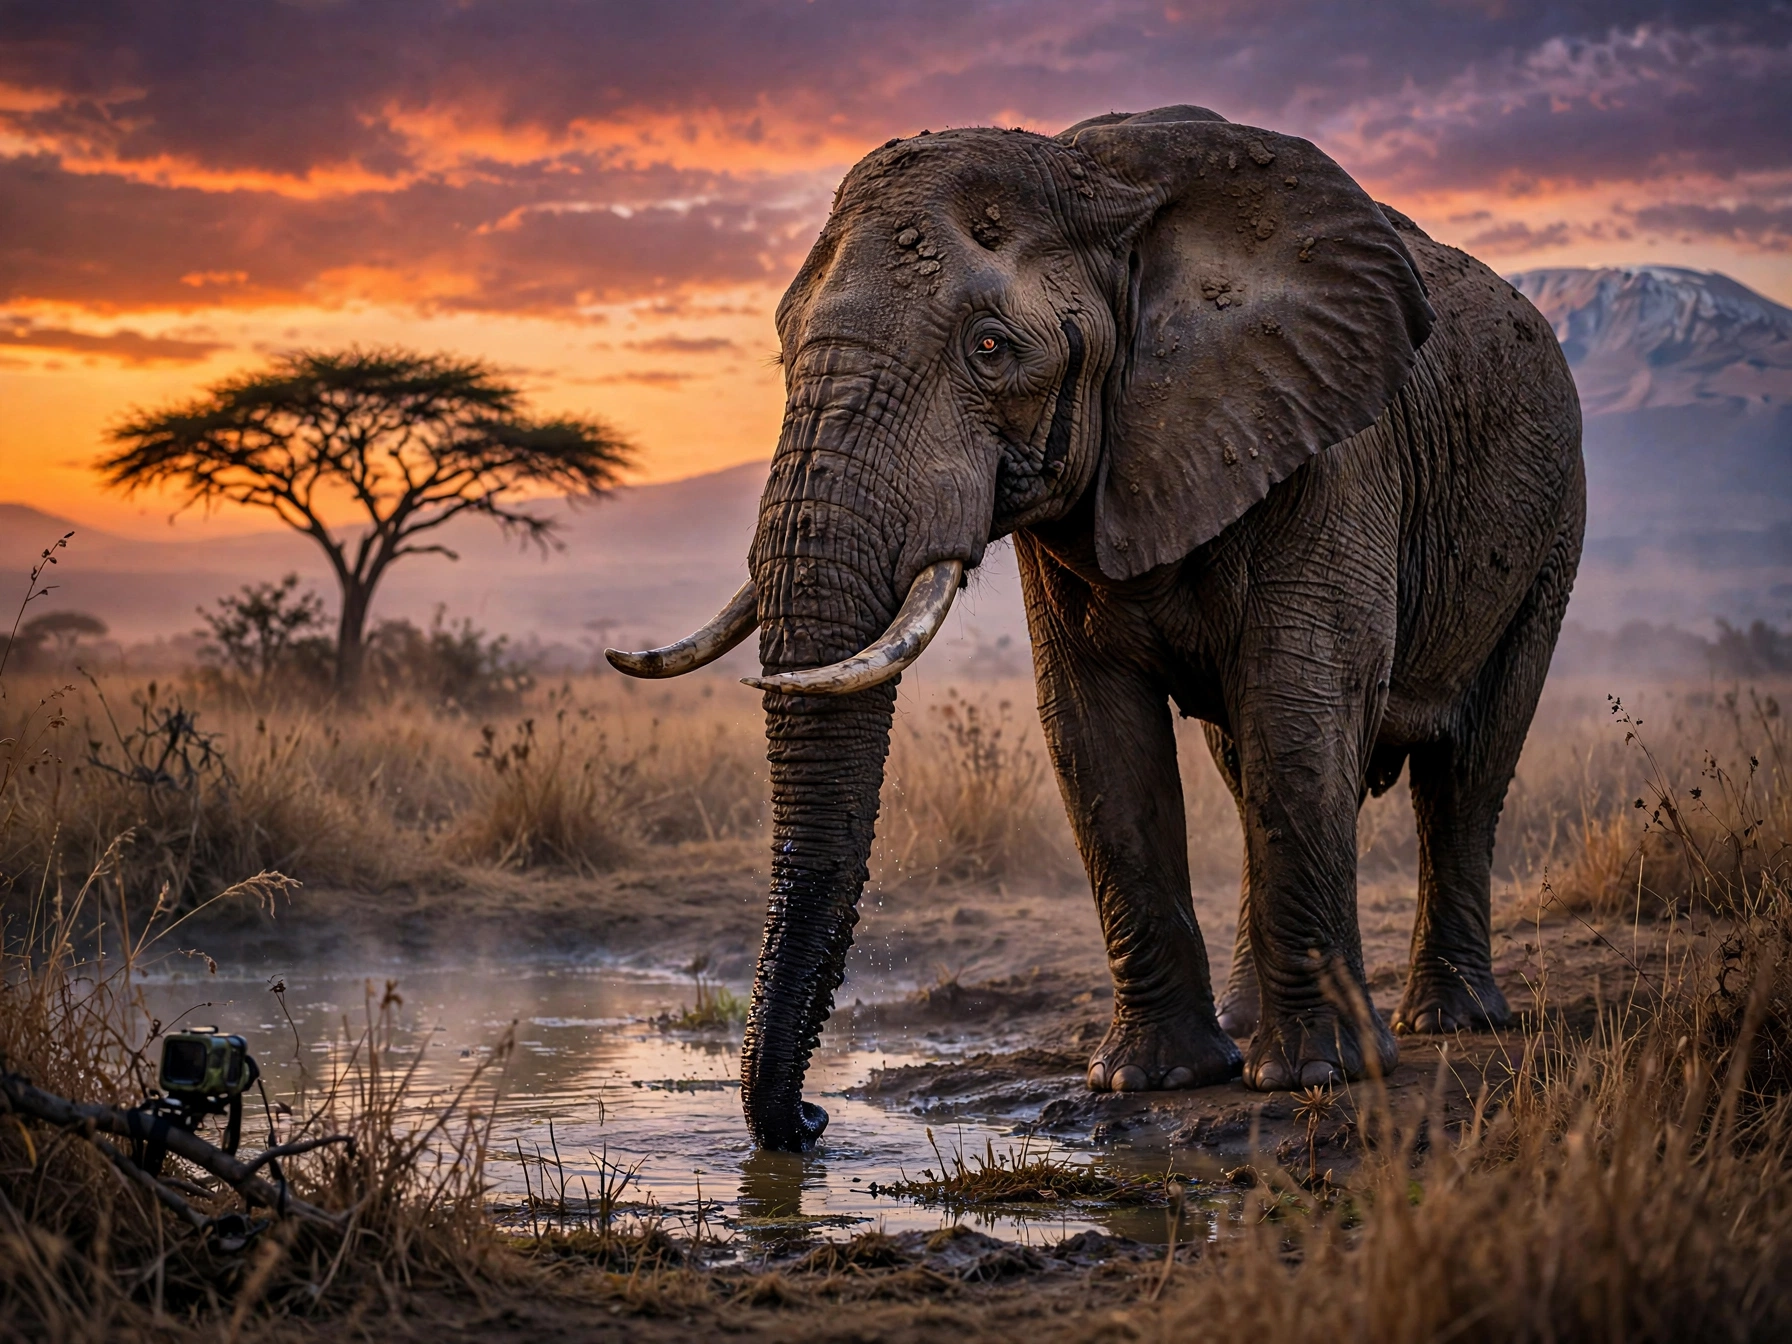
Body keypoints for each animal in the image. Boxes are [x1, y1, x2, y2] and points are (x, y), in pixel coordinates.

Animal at [608, 104, 1584, 1153]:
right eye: (784, 351)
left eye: (992, 349)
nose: (813, 1120)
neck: (1096, 177)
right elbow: (1097, 739)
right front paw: (1154, 1079)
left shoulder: (1332, 441)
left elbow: (1302, 708)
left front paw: (1318, 1076)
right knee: (1246, 769)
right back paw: (1250, 1022)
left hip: (1552, 529)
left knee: (1468, 770)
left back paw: (1449, 1020)